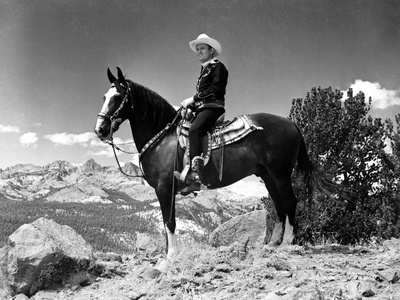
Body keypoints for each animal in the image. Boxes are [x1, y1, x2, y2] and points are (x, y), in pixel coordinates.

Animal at [94, 67, 316, 258]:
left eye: (117, 97)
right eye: (104, 97)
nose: (100, 129)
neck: (163, 138)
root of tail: (291, 123)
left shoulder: (165, 188)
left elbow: (169, 222)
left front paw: (170, 257)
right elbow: (166, 224)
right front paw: (167, 256)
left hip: (281, 173)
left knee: (290, 202)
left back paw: (286, 243)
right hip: (267, 175)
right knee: (279, 205)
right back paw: (273, 243)